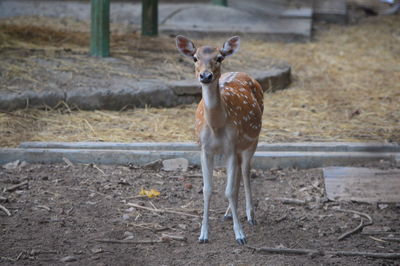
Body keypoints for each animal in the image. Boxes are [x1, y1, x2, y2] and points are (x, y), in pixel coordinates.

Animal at [175, 35, 262, 245]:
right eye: (195, 58)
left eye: (219, 58)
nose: (205, 76)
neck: (216, 126)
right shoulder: (204, 149)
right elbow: (207, 189)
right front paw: (203, 235)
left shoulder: (230, 147)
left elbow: (228, 190)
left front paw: (240, 235)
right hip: (238, 148)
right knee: (238, 174)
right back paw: (229, 213)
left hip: (252, 141)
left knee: (245, 172)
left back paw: (251, 215)